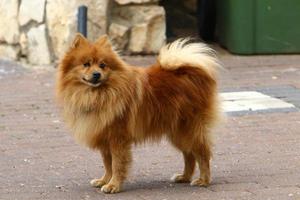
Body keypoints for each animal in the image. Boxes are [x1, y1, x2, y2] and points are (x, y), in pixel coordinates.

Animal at [56, 33, 220, 193]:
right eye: (86, 64)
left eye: (103, 65)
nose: (97, 74)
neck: (98, 95)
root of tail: (192, 72)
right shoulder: (104, 138)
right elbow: (107, 164)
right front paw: (104, 180)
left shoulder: (118, 139)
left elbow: (117, 164)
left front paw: (113, 185)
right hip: (177, 133)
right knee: (189, 155)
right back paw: (184, 177)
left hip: (188, 129)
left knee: (203, 153)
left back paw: (203, 180)